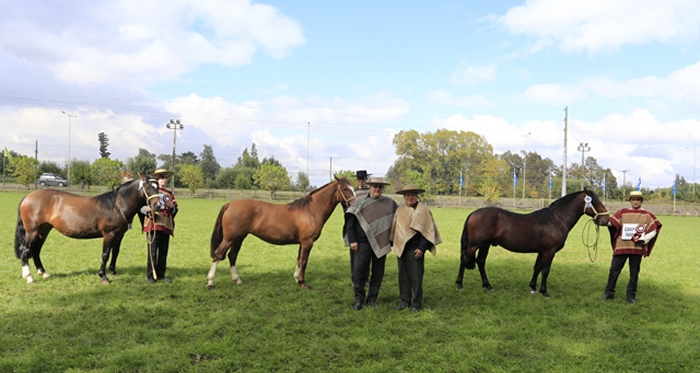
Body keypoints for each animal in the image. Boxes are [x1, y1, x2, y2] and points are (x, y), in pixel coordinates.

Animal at [15, 173, 160, 284]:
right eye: (147, 187)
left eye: (158, 187)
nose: (158, 205)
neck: (116, 206)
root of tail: (27, 197)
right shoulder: (109, 234)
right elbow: (105, 254)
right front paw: (103, 276)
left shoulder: (119, 235)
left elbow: (115, 252)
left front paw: (112, 271)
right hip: (32, 231)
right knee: (25, 250)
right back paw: (29, 277)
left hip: (44, 231)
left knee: (36, 250)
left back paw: (44, 273)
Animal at [205, 176, 352, 290]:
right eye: (346, 189)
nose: (354, 202)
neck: (311, 210)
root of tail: (230, 204)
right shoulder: (307, 242)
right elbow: (304, 261)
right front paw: (303, 283)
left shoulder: (302, 243)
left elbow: (299, 260)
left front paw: (296, 279)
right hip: (230, 238)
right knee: (218, 254)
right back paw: (210, 282)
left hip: (239, 238)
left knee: (232, 256)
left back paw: (237, 280)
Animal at [454, 187, 608, 298]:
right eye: (594, 202)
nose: (605, 220)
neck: (554, 220)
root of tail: (473, 213)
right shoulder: (549, 251)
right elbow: (545, 270)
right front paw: (544, 292)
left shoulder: (542, 251)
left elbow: (537, 267)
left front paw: (533, 288)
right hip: (474, 245)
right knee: (464, 259)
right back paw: (459, 285)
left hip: (485, 245)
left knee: (480, 262)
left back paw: (488, 286)